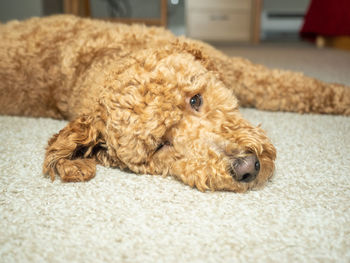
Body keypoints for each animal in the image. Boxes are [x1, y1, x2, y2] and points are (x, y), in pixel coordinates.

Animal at [0, 15, 348, 193]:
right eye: (160, 145)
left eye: (196, 99)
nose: (246, 167)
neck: (104, 61)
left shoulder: (242, 72)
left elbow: (296, 85)